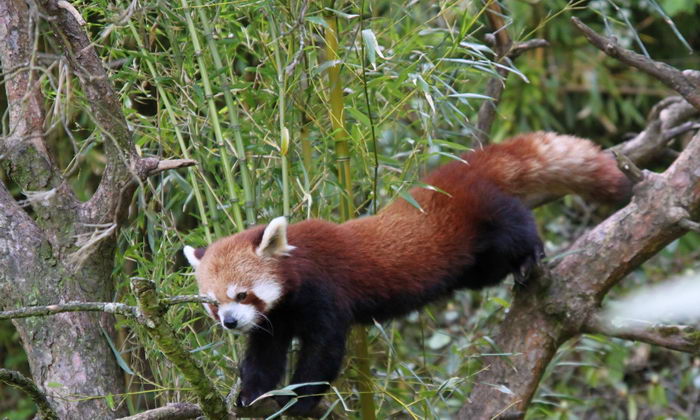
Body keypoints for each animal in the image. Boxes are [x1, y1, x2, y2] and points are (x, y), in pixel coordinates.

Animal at [183, 133, 632, 416]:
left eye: (242, 294)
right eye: (213, 303)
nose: (229, 322)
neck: (297, 270)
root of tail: (458, 172)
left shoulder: (324, 293)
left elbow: (323, 351)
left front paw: (299, 402)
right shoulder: (275, 318)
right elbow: (264, 355)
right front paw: (251, 394)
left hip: (484, 217)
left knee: (517, 227)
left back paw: (530, 256)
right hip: (470, 263)